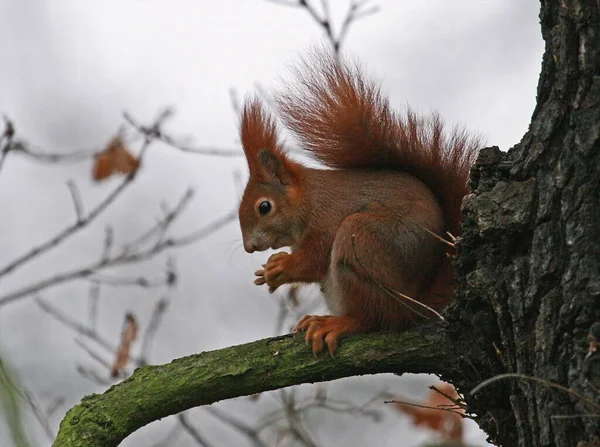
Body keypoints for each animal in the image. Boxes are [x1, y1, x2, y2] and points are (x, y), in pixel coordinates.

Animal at [237, 50, 480, 356]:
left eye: (264, 207)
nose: (248, 247)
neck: (308, 201)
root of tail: (411, 304)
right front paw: (269, 269)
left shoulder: (328, 218)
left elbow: (314, 260)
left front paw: (279, 268)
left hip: (362, 240)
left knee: (373, 319)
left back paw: (338, 323)